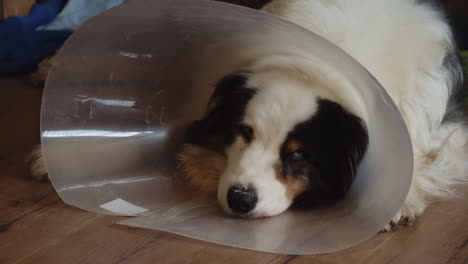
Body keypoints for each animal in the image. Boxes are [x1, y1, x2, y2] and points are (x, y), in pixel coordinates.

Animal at [30, 0, 468, 231]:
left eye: (298, 155)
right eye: (244, 131)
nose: (240, 199)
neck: (314, 65)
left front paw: (399, 198)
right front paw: (57, 155)